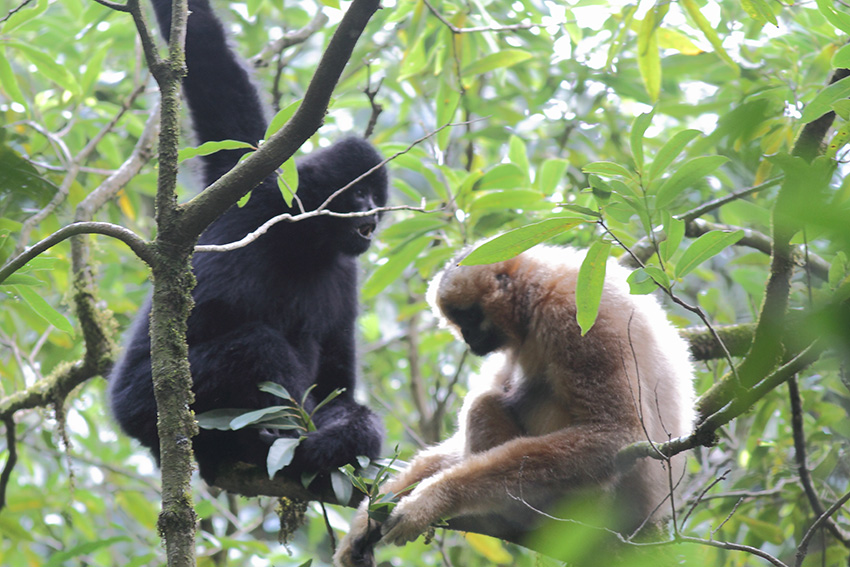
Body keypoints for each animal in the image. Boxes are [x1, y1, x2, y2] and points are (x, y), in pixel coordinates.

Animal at [334, 244, 696, 566]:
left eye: (469, 316)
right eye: (459, 321)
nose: (467, 336)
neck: (537, 290)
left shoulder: (577, 314)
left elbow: (615, 435)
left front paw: (435, 499)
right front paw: (369, 519)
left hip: (589, 510)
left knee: (485, 405)